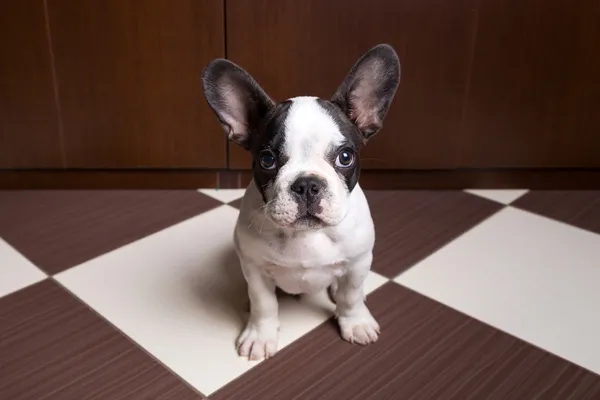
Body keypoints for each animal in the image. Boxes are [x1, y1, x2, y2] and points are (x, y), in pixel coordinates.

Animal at [200, 43, 398, 360]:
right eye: (267, 160)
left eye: (345, 157)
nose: (307, 184)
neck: (306, 235)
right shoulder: (254, 269)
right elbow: (264, 303)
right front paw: (260, 335)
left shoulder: (358, 262)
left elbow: (351, 296)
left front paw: (355, 322)